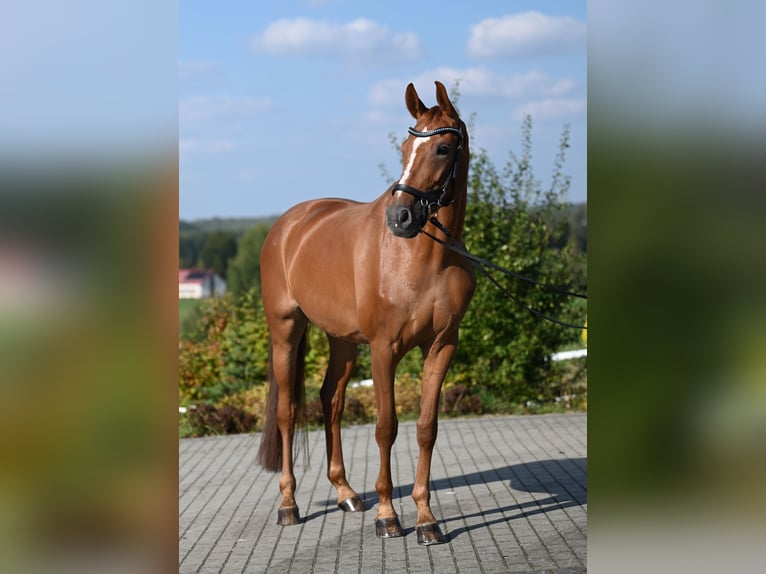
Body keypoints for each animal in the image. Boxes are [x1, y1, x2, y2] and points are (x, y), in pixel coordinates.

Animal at [258, 82, 474, 548]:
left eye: (443, 147)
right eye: (405, 147)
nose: (400, 217)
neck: (421, 259)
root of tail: (289, 224)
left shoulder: (442, 346)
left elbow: (426, 428)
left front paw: (426, 519)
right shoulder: (383, 348)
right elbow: (386, 426)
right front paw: (389, 516)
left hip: (341, 340)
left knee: (330, 400)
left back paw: (345, 493)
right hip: (286, 330)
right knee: (287, 411)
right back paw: (288, 505)